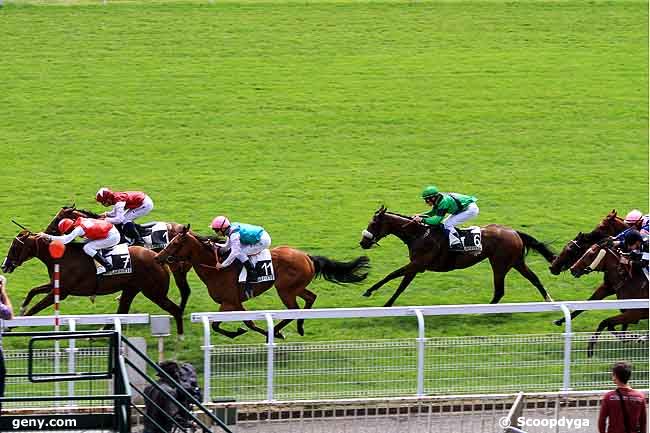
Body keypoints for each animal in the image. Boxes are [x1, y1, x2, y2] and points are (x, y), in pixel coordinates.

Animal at [1, 230, 184, 334]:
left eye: (15, 247)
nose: (5, 265)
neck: (62, 257)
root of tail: (158, 258)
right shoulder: (55, 285)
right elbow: (33, 291)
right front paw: (21, 308)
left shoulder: (62, 291)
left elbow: (36, 308)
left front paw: (12, 325)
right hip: (131, 289)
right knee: (122, 310)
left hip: (154, 292)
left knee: (175, 309)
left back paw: (180, 336)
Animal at [149, 224, 368, 340]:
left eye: (176, 242)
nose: (158, 257)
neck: (215, 268)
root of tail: (306, 256)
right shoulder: (230, 303)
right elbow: (227, 324)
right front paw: (239, 332)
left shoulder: (231, 302)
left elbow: (237, 323)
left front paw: (263, 334)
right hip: (296, 287)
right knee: (310, 298)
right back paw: (300, 327)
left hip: (285, 290)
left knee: (293, 309)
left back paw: (281, 330)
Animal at [356, 205, 556, 304]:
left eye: (374, 224)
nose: (363, 242)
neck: (419, 234)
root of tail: (514, 232)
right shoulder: (416, 266)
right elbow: (396, 280)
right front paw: (375, 295)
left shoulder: (417, 264)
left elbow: (396, 280)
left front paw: (379, 299)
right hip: (516, 262)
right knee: (534, 278)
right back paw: (549, 299)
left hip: (500, 264)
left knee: (499, 291)